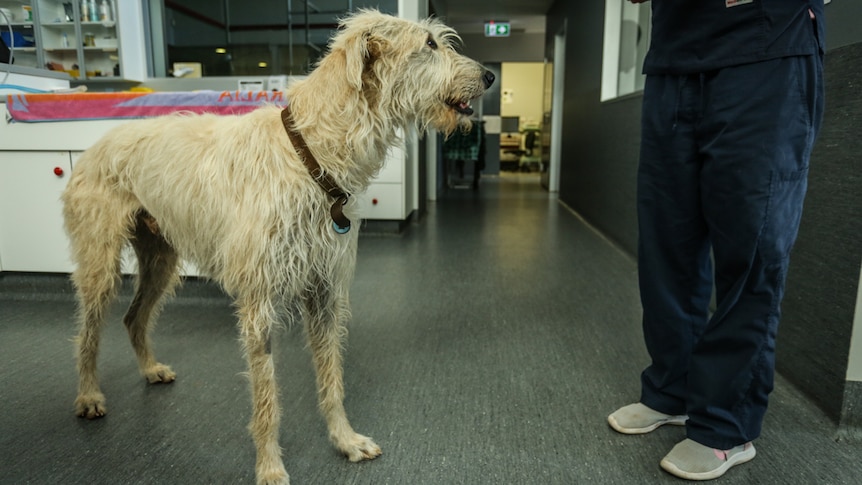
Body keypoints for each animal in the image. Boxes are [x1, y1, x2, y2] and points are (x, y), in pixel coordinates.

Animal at [60, 8, 496, 484]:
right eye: (429, 44)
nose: (490, 75)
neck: (309, 154)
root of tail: (96, 144)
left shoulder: (325, 294)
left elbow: (332, 379)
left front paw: (344, 440)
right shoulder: (259, 304)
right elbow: (266, 396)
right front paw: (269, 466)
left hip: (160, 259)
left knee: (134, 317)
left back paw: (149, 368)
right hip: (100, 263)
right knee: (88, 331)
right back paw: (87, 395)